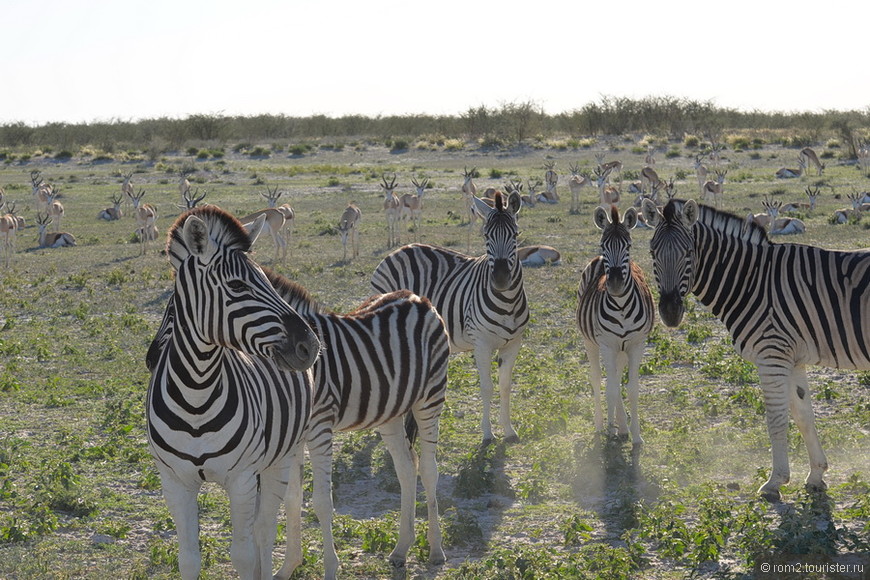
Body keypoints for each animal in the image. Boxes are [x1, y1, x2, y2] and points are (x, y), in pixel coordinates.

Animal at [145, 206, 322, 576]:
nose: (310, 345)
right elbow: (188, 557)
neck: (195, 397)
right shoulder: (174, 483)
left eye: (266, 280)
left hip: (283, 454)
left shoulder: (241, 479)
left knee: (267, 527)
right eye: (237, 285)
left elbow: (243, 553)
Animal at [264, 270, 454, 580]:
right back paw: (401, 549)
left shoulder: (319, 427)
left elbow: (321, 502)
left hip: (431, 396)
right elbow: (292, 499)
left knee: (428, 469)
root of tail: (417, 297)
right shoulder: (295, 436)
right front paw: (288, 566)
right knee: (406, 466)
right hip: (390, 410)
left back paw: (436, 550)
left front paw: (330, 568)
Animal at [372, 190, 528, 444]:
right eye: (486, 235)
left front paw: (509, 430)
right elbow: (487, 387)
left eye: (515, 235)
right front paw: (487, 434)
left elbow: (505, 386)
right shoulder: (481, 343)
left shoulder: (513, 343)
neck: (507, 303)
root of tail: (400, 249)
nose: (501, 279)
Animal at [580, 204, 656, 444]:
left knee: (615, 376)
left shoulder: (636, 345)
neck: (621, 305)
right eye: (603, 244)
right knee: (598, 379)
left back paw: (622, 426)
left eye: (628, 246)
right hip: (591, 342)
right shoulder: (607, 345)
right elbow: (611, 388)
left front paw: (636, 436)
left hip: (621, 349)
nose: (614, 284)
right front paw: (610, 430)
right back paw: (602, 425)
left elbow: (631, 389)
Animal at [640, 199, 870, 502]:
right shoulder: (792, 358)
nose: (669, 312)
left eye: (689, 252)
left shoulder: (772, 355)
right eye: (652, 252)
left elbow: (776, 420)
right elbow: (803, 415)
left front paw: (775, 482)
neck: (751, 281)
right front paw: (816, 475)